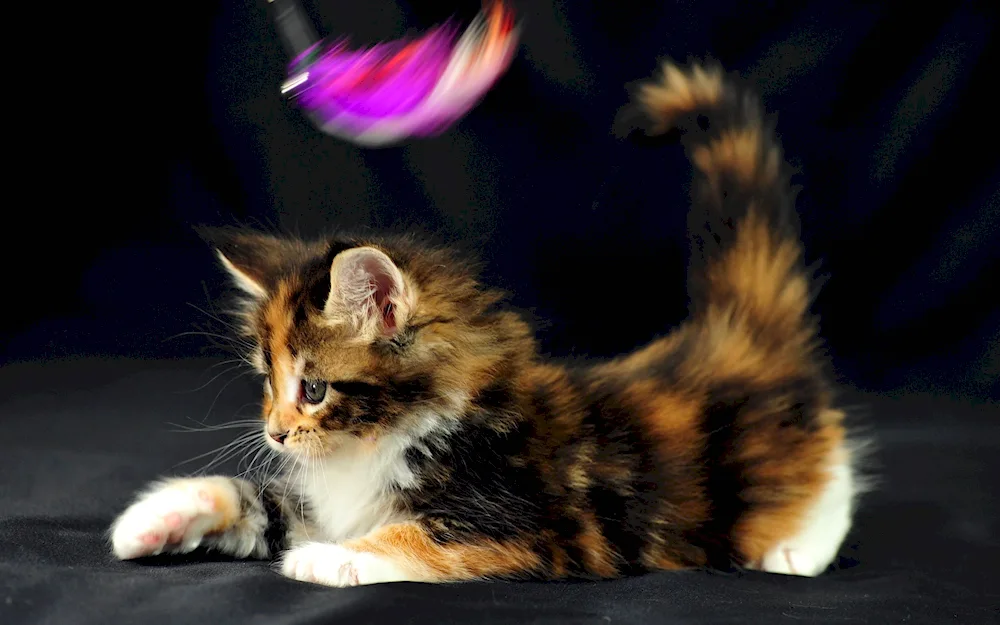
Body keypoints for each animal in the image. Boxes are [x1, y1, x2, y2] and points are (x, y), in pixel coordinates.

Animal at [109, 58, 864, 584]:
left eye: (314, 389)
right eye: (267, 382)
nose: (274, 432)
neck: (387, 441)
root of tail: (730, 334)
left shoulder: (532, 527)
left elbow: (418, 537)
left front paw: (327, 558)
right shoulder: (325, 497)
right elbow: (256, 497)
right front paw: (153, 518)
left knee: (837, 470)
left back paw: (794, 549)